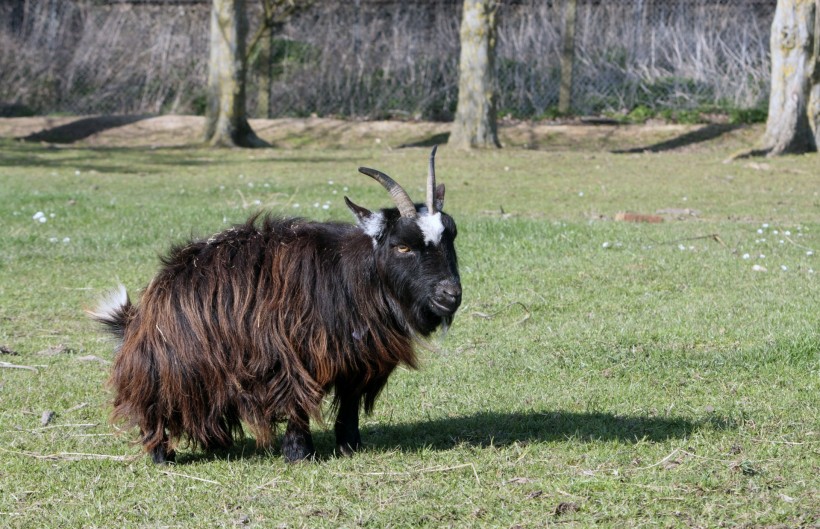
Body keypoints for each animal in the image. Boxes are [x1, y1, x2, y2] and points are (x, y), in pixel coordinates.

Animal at [91, 145, 462, 462]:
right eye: (403, 246)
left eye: (451, 235)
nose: (450, 295)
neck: (351, 276)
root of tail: (144, 309)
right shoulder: (289, 354)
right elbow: (297, 399)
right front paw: (300, 454)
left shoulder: (354, 357)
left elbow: (349, 402)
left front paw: (350, 446)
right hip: (168, 367)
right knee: (154, 406)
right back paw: (161, 455)